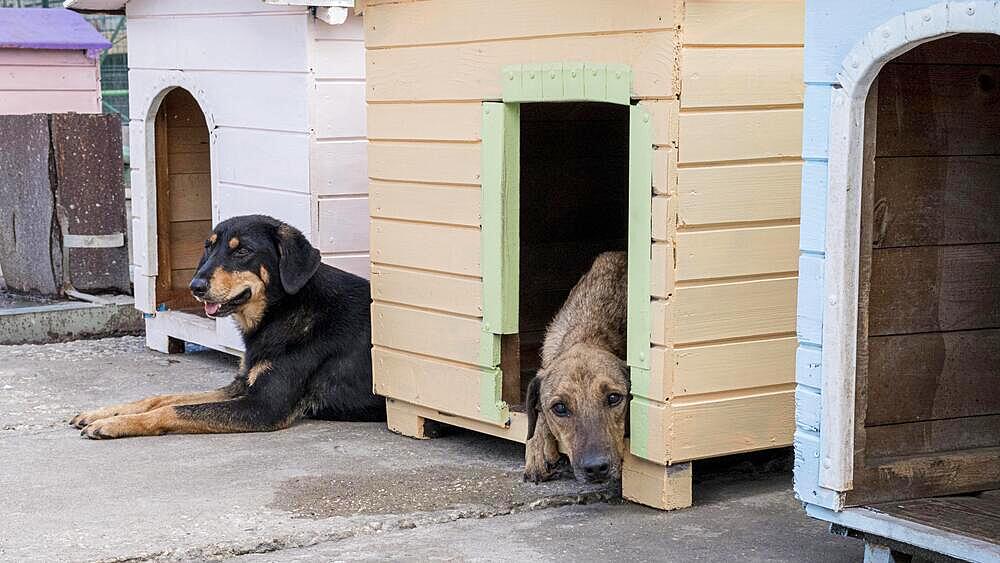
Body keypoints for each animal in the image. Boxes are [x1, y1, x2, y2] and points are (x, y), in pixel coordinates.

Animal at [72, 214, 384, 438]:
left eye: (243, 251)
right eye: (208, 247)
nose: (195, 286)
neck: (283, 309)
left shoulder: (263, 406)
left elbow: (174, 409)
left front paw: (114, 424)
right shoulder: (241, 385)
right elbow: (164, 398)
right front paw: (106, 413)